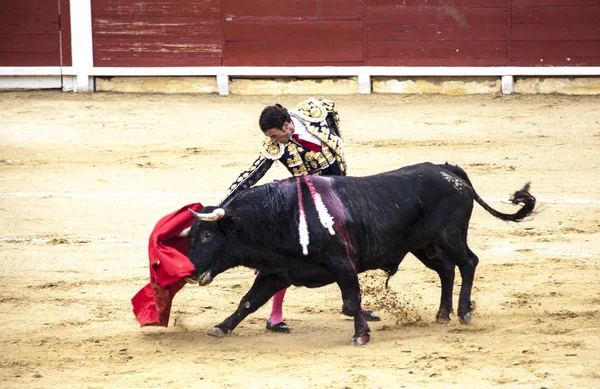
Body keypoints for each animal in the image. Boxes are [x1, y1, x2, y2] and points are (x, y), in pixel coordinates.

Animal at [183, 162, 536, 344]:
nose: (190, 271)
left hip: (449, 235)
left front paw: (361, 335)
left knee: (468, 263)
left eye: (206, 236)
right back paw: (442, 314)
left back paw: (463, 312)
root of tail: (448, 171)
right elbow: (248, 301)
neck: (279, 215)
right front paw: (221, 327)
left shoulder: (342, 264)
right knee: (448, 270)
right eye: (191, 237)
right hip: (424, 246)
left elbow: (350, 301)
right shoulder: (278, 271)